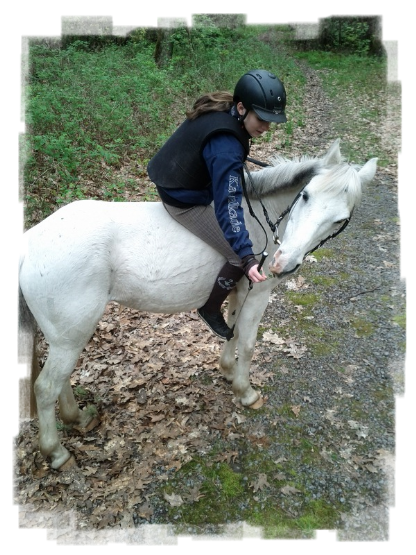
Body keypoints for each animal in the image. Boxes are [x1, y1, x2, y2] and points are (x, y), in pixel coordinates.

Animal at [0, 140, 377, 469]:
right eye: (306, 195)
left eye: (339, 219)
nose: (282, 262)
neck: (259, 217)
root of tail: (27, 242)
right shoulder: (258, 293)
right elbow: (248, 343)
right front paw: (246, 391)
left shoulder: (240, 292)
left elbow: (231, 331)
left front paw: (227, 371)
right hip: (71, 334)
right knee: (45, 387)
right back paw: (56, 452)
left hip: (66, 336)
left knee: (60, 379)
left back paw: (78, 418)